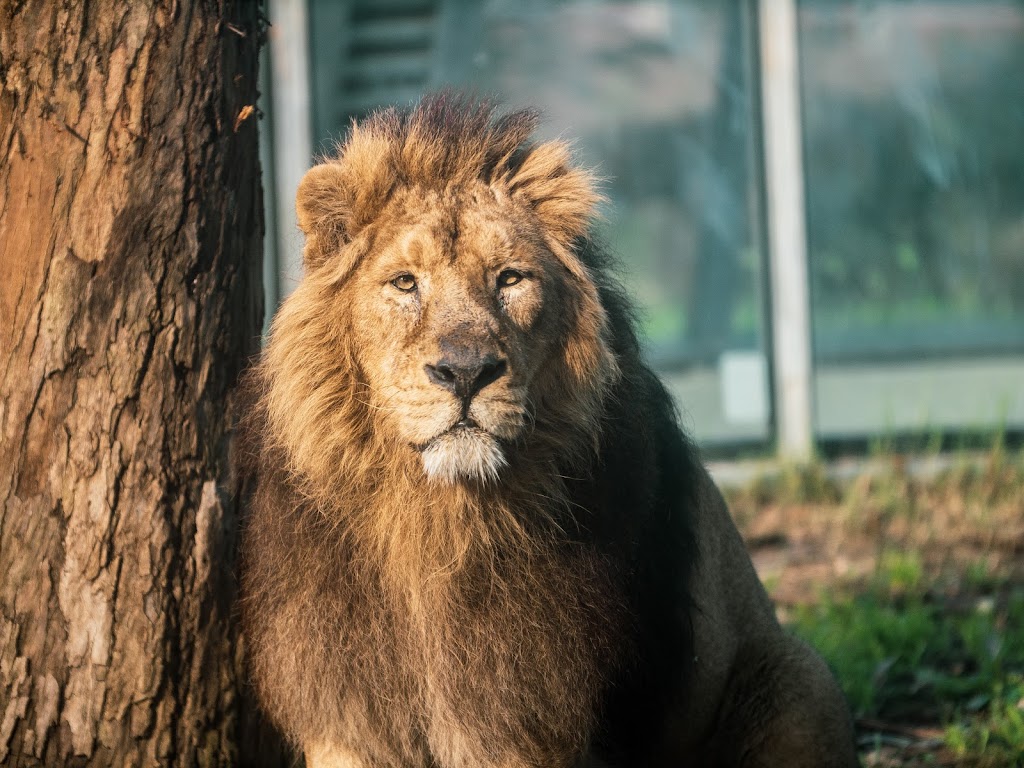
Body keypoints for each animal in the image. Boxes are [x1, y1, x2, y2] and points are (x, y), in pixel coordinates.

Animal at [239, 91, 856, 768]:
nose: (465, 371)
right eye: (405, 283)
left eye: (510, 279)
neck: (433, 525)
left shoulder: (530, 722)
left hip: (797, 676)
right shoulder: (347, 721)